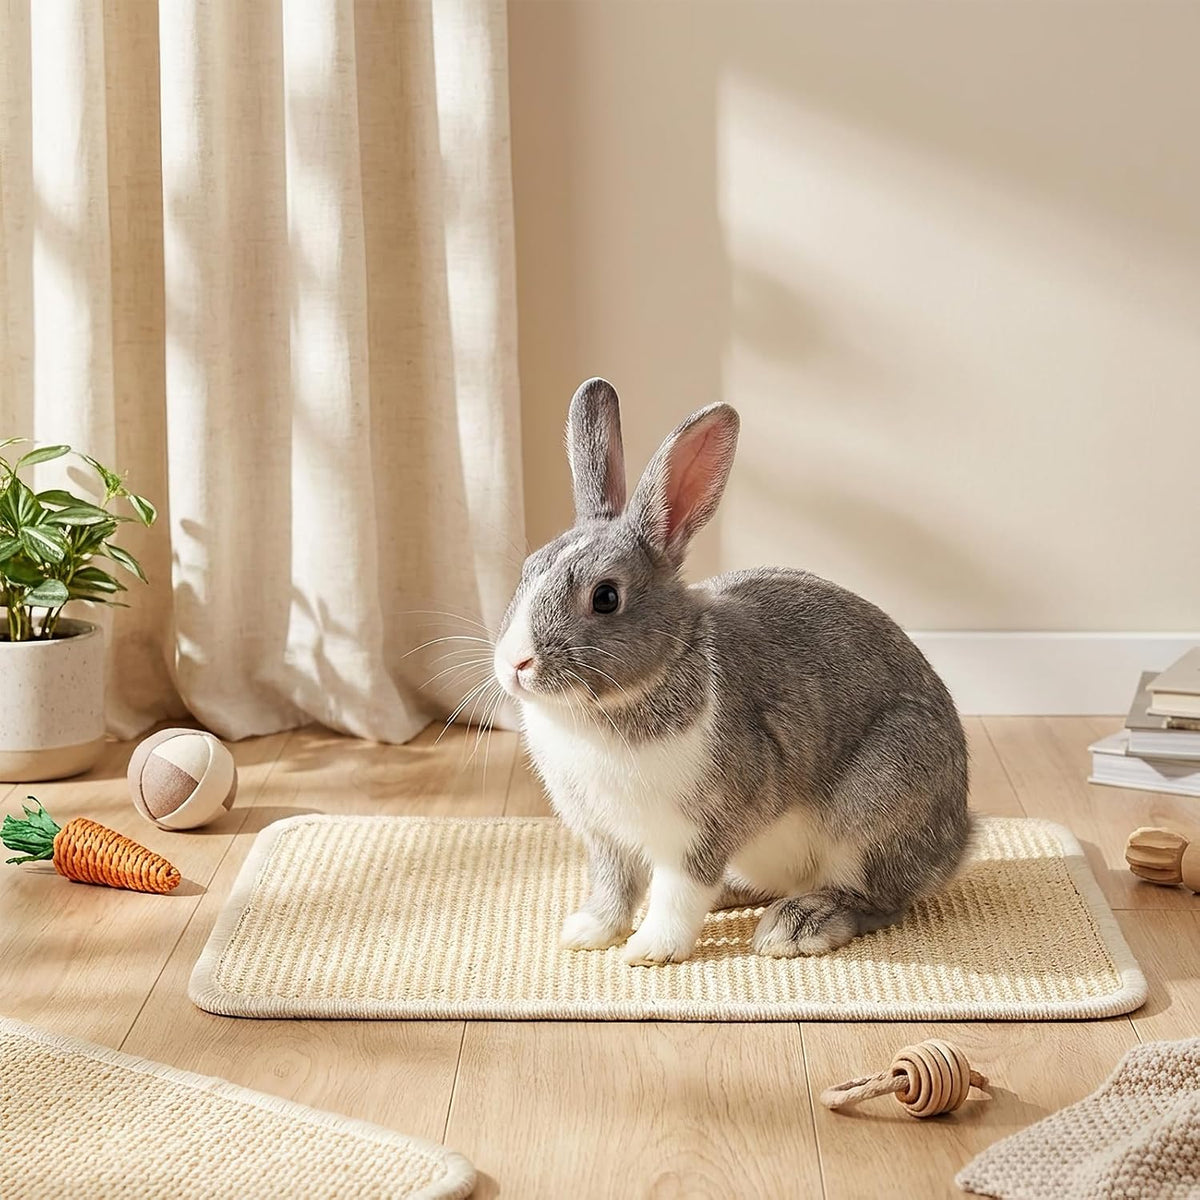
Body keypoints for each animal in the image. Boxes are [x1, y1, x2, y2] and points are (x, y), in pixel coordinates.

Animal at [493, 377, 970, 966]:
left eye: (605, 598)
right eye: (528, 570)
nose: (516, 663)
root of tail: (959, 841)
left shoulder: (701, 830)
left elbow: (680, 891)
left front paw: (651, 949)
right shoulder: (607, 838)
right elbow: (613, 888)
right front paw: (586, 933)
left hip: (875, 809)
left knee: (875, 900)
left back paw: (796, 926)